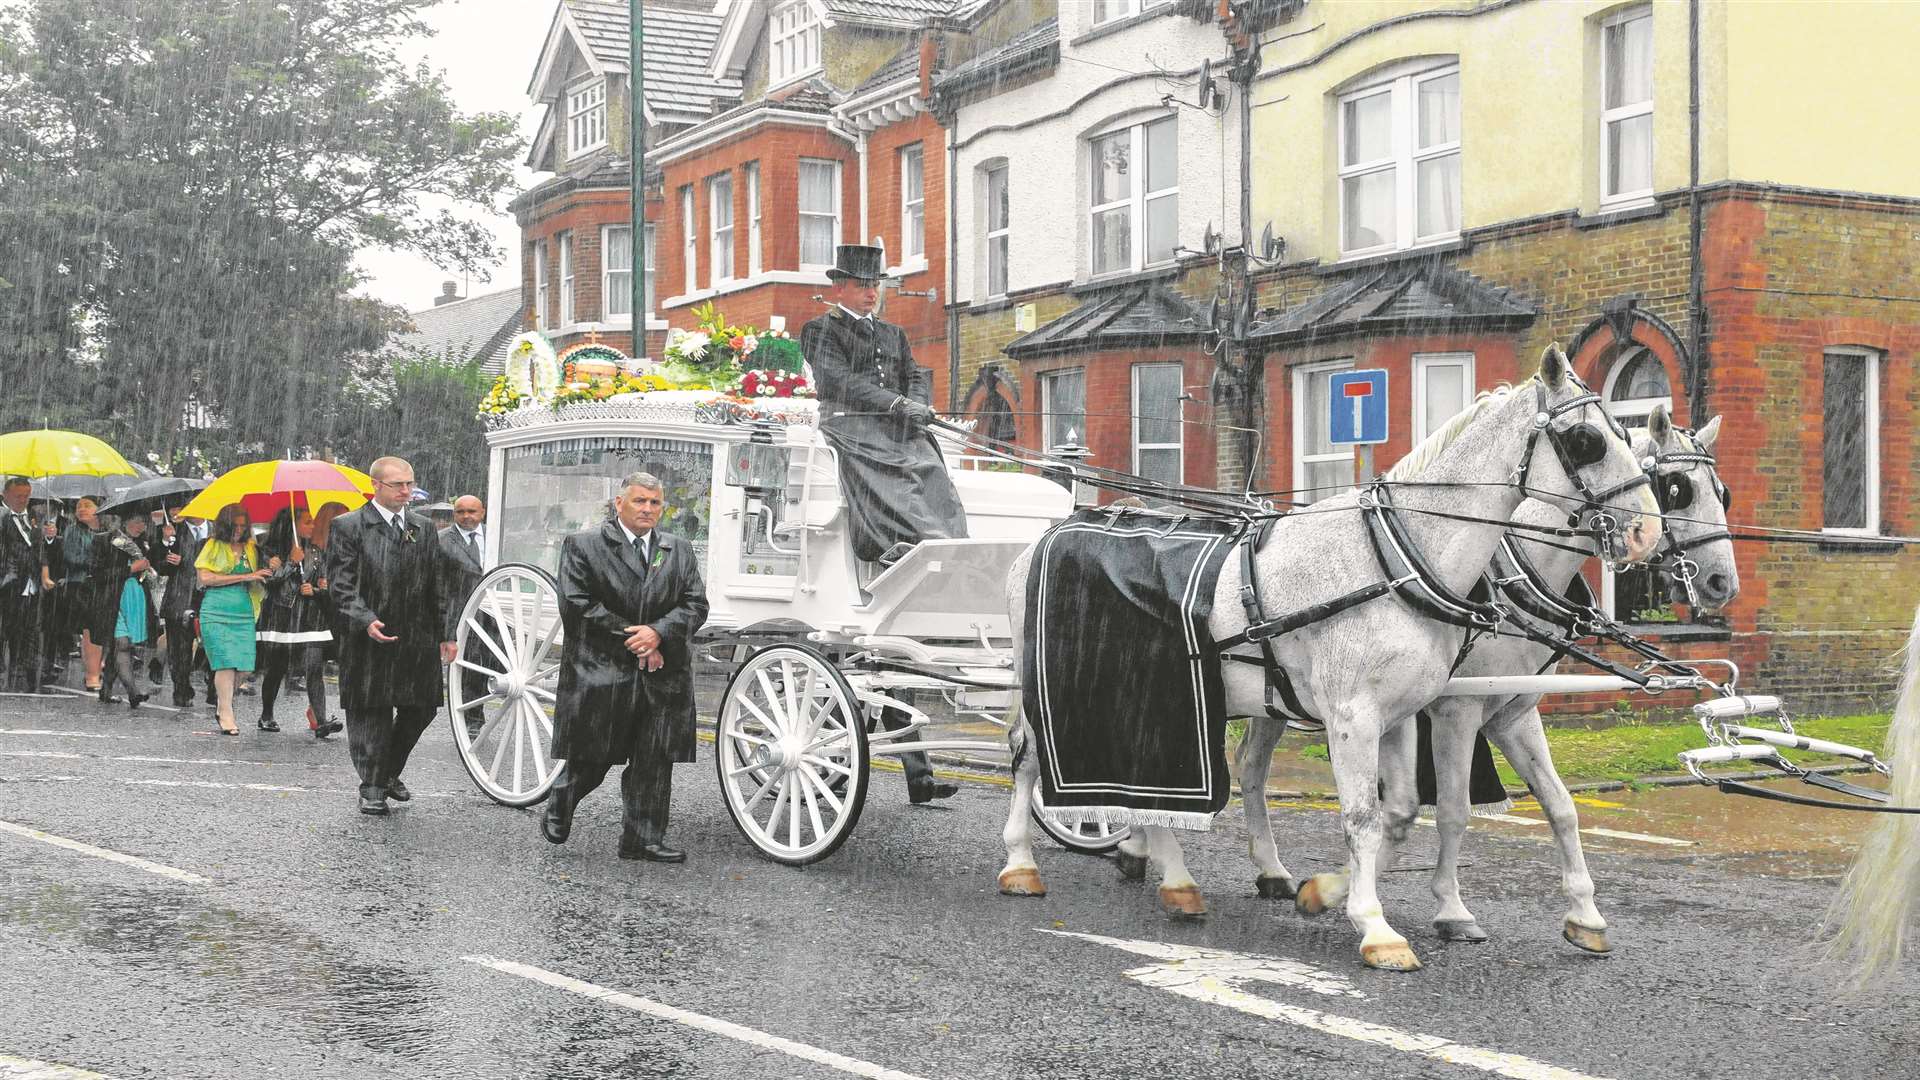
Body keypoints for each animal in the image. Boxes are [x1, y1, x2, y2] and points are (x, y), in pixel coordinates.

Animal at [998, 343, 1658, 968]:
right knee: (1029, 761)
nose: (1647, 533)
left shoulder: (1405, 715)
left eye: (1629, 437)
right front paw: (1378, 928)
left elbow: (1408, 811)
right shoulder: (1365, 714)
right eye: (1588, 440)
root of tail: (1041, 539)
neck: (1393, 558)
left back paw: (1180, 880)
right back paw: (1021, 864)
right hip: (1051, 691)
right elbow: (1370, 816)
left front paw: (1324, 894)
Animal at [1282, 401, 1751, 949]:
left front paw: (1584, 913)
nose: (1722, 582)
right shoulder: (1457, 710)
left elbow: (1559, 804)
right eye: (1677, 489)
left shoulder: (1513, 713)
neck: (1517, 574)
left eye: (1723, 492)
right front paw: (1449, 908)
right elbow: (1452, 810)